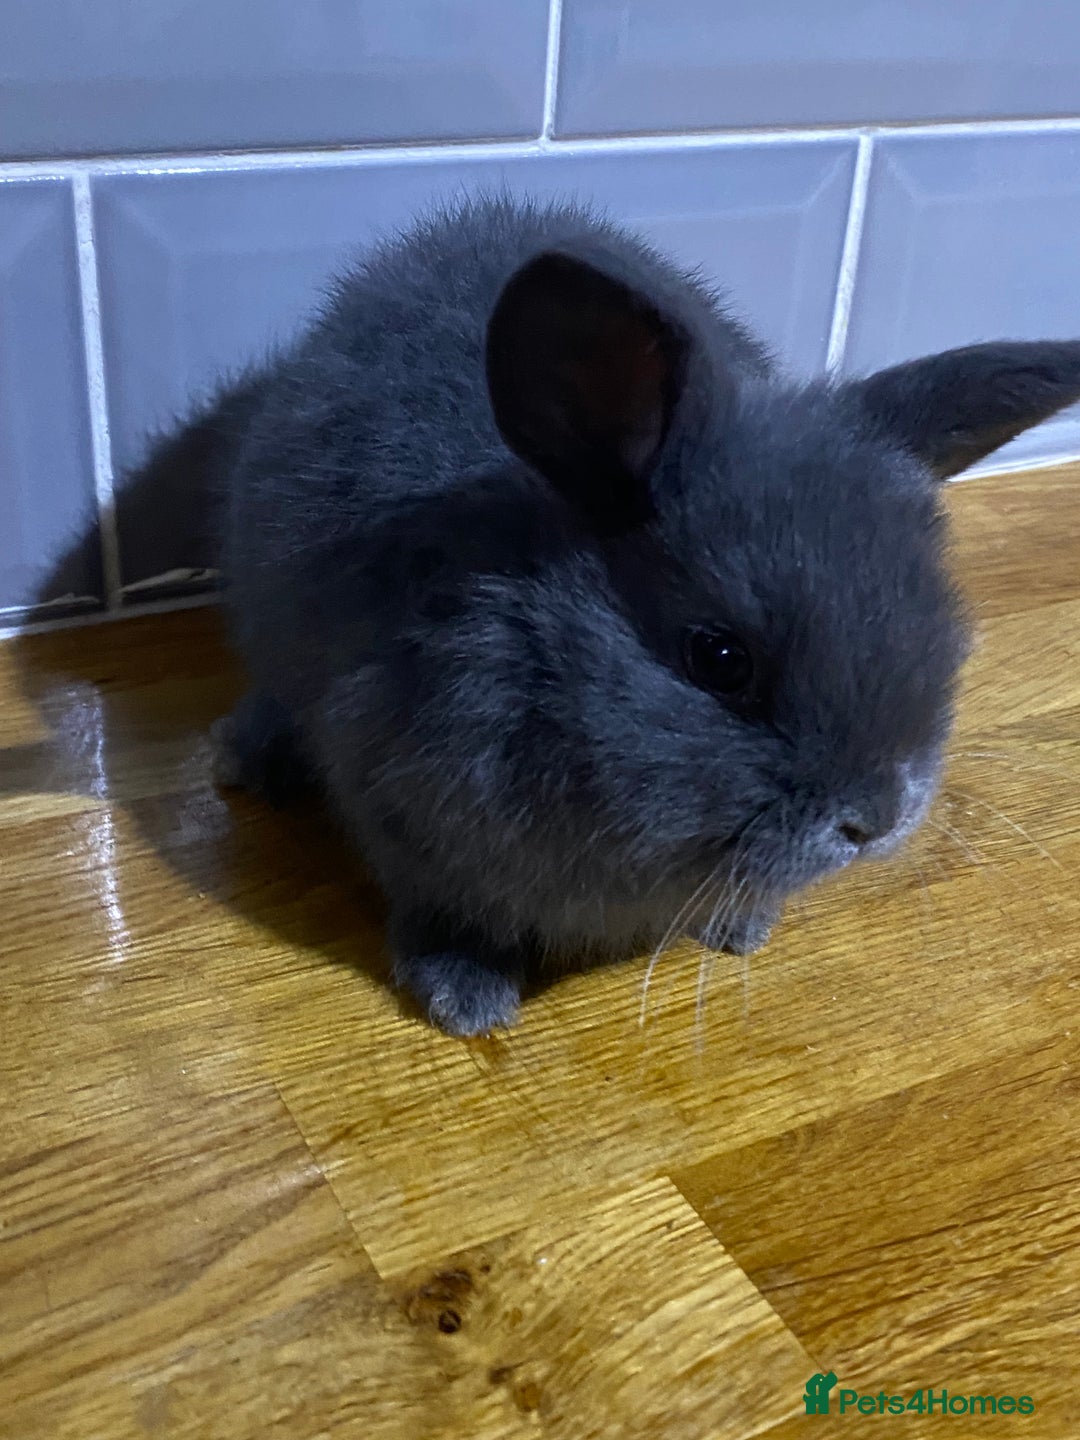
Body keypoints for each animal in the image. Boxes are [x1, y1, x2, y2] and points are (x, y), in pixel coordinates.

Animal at [133, 194, 1080, 1035]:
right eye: (720, 660)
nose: (878, 818)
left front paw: (741, 930)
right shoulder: (404, 817)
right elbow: (442, 914)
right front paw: (466, 1002)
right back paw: (245, 759)